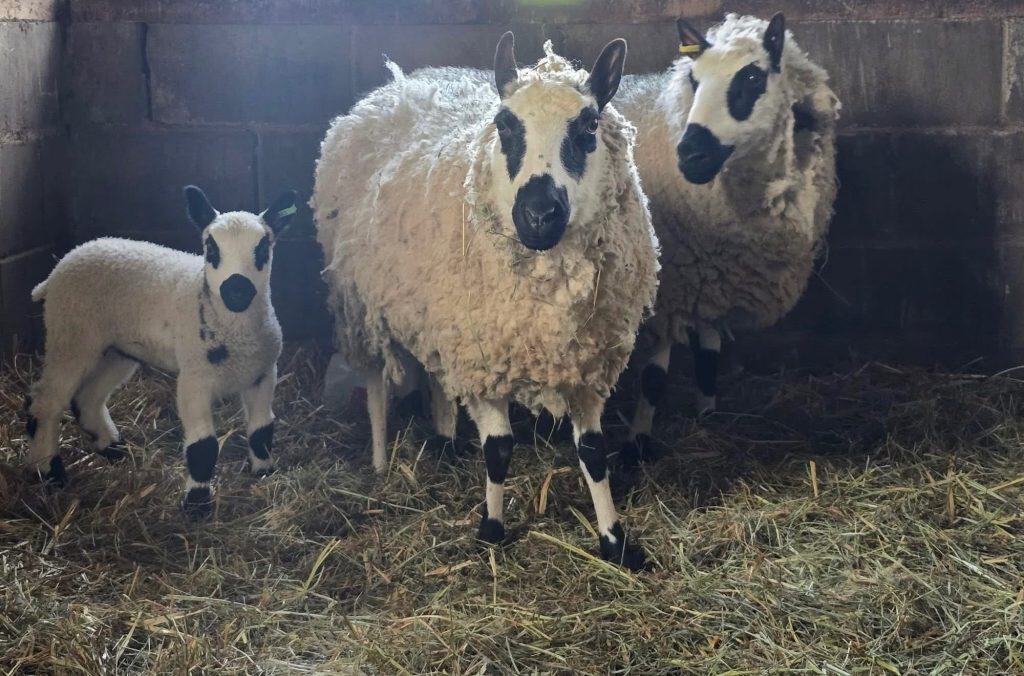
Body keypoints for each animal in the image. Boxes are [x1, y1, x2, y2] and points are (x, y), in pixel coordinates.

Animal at [24, 186, 298, 518]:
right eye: (211, 248)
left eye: (262, 249)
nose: (237, 291)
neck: (235, 334)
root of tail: (56, 271)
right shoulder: (194, 378)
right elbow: (203, 446)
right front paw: (197, 505)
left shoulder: (262, 374)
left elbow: (261, 429)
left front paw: (264, 472)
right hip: (71, 334)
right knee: (47, 402)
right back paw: (48, 469)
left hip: (117, 348)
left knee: (88, 398)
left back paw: (112, 448)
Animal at [313, 35, 660, 569]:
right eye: (504, 125)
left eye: (588, 125)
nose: (538, 214)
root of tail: (397, 84)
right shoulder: (482, 363)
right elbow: (498, 450)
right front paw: (491, 530)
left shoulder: (584, 366)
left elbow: (594, 452)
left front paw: (615, 540)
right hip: (356, 303)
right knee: (374, 384)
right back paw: (378, 460)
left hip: (437, 315)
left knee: (436, 375)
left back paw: (444, 438)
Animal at [614, 13, 839, 463]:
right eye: (693, 80)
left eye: (752, 77)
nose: (691, 155)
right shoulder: (670, 286)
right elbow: (653, 377)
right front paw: (637, 443)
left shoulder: (712, 278)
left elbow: (709, 352)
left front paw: (708, 411)